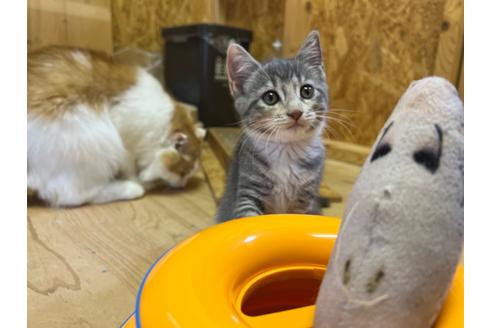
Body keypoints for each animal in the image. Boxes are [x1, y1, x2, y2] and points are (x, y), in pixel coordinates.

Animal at [28, 45, 206, 208]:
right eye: (182, 173)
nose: (182, 185)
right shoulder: (125, 143)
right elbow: (131, 170)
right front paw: (140, 180)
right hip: (96, 143)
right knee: (73, 196)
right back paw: (133, 188)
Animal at [216, 30, 328, 222]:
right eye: (270, 97)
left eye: (307, 91)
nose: (296, 112)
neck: (287, 151)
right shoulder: (248, 189)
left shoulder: (305, 200)